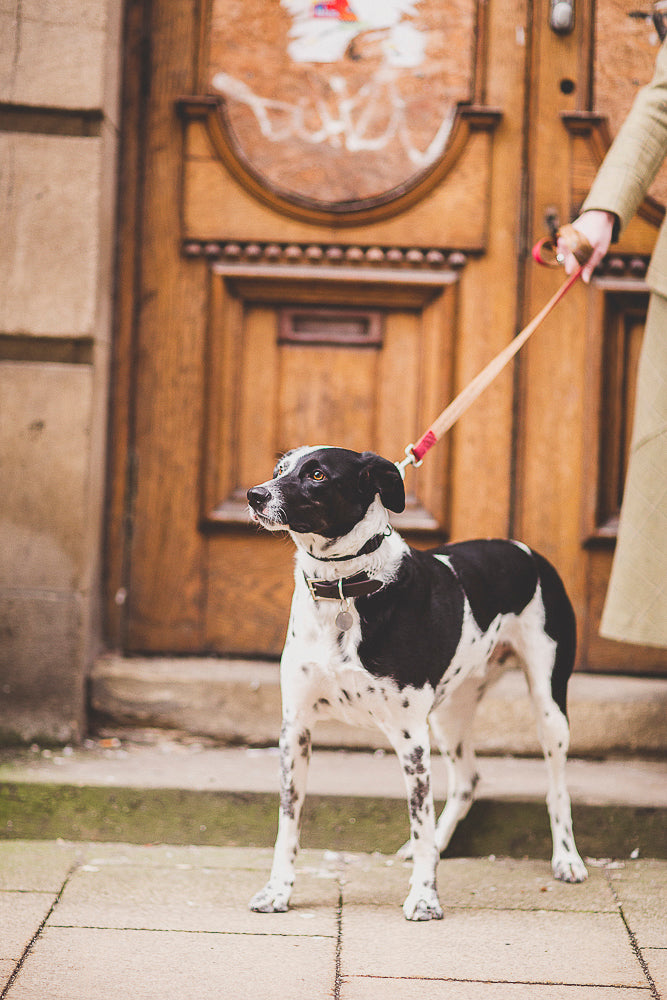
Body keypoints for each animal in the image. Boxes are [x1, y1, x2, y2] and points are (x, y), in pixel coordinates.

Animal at [248, 450, 588, 916]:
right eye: (280, 470)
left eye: (317, 474)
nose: (254, 494)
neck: (345, 587)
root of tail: (526, 551)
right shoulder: (295, 729)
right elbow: (288, 824)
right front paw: (277, 891)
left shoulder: (410, 736)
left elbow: (419, 817)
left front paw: (425, 897)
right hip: (450, 713)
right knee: (467, 780)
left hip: (549, 706)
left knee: (556, 790)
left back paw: (567, 858)